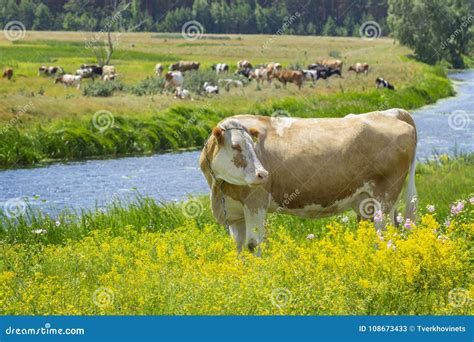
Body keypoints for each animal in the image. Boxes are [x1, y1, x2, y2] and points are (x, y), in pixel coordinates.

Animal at [200, 108, 418, 252]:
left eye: (253, 145)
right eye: (236, 146)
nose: (263, 174)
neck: (219, 190)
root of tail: (392, 113)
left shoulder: (255, 202)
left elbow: (253, 245)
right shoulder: (235, 213)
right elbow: (238, 247)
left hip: (386, 197)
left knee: (385, 234)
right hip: (366, 202)